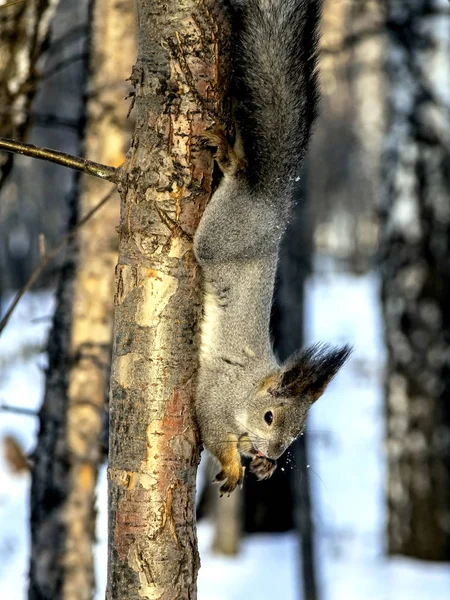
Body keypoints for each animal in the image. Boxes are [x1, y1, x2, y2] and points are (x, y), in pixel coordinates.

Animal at [193, 0, 352, 494]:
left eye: (299, 432)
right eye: (268, 417)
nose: (275, 456)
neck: (248, 391)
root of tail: (274, 200)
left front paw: (257, 466)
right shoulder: (214, 397)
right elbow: (214, 432)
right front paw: (233, 466)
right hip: (219, 235)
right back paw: (232, 159)